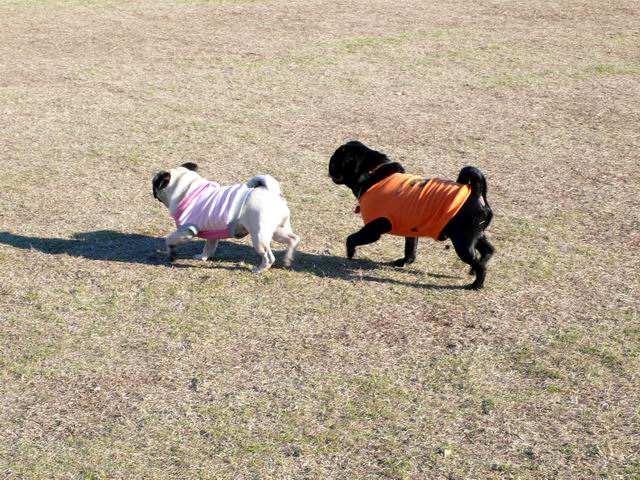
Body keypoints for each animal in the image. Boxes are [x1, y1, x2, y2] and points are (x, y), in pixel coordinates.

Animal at [152, 162, 299, 273]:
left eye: (155, 183)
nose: (152, 189)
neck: (186, 189)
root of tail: (270, 192)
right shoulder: (212, 233)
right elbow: (208, 247)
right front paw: (202, 257)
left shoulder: (187, 230)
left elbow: (170, 239)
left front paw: (171, 254)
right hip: (277, 231)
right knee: (293, 239)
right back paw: (288, 259)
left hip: (259, 237)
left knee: (269, 257)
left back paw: (259, 269)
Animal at [328, 141, 494, 289]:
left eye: (335, 161)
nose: (329, 165)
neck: (371, 173)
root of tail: (476, 193)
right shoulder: (411, 228)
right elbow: (410, 249)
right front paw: (404, 262)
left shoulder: (372, 230)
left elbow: (351, 239)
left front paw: (350, 253)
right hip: (472, 235)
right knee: (488, 250)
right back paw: (474, 270)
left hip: (462, 243)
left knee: (481, 267)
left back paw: (476, 285)